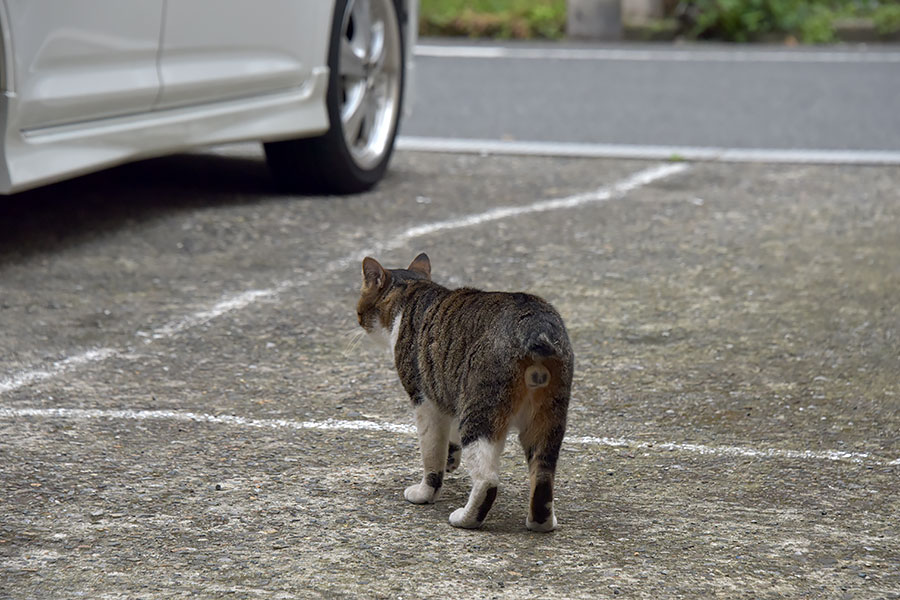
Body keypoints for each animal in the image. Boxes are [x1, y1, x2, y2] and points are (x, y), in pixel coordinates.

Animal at [356, 252, 572, 528]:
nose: (359, 321)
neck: (412, 294)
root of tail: (536, 328)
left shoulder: (425, 400)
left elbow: (431, 455)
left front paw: (425, 493)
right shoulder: (448, 391)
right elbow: (449, 438)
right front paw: (451, 459)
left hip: (481, 409)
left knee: (488, 479)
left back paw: (465, 519)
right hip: (549, 417)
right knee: (543, 474)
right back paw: (541, 523)